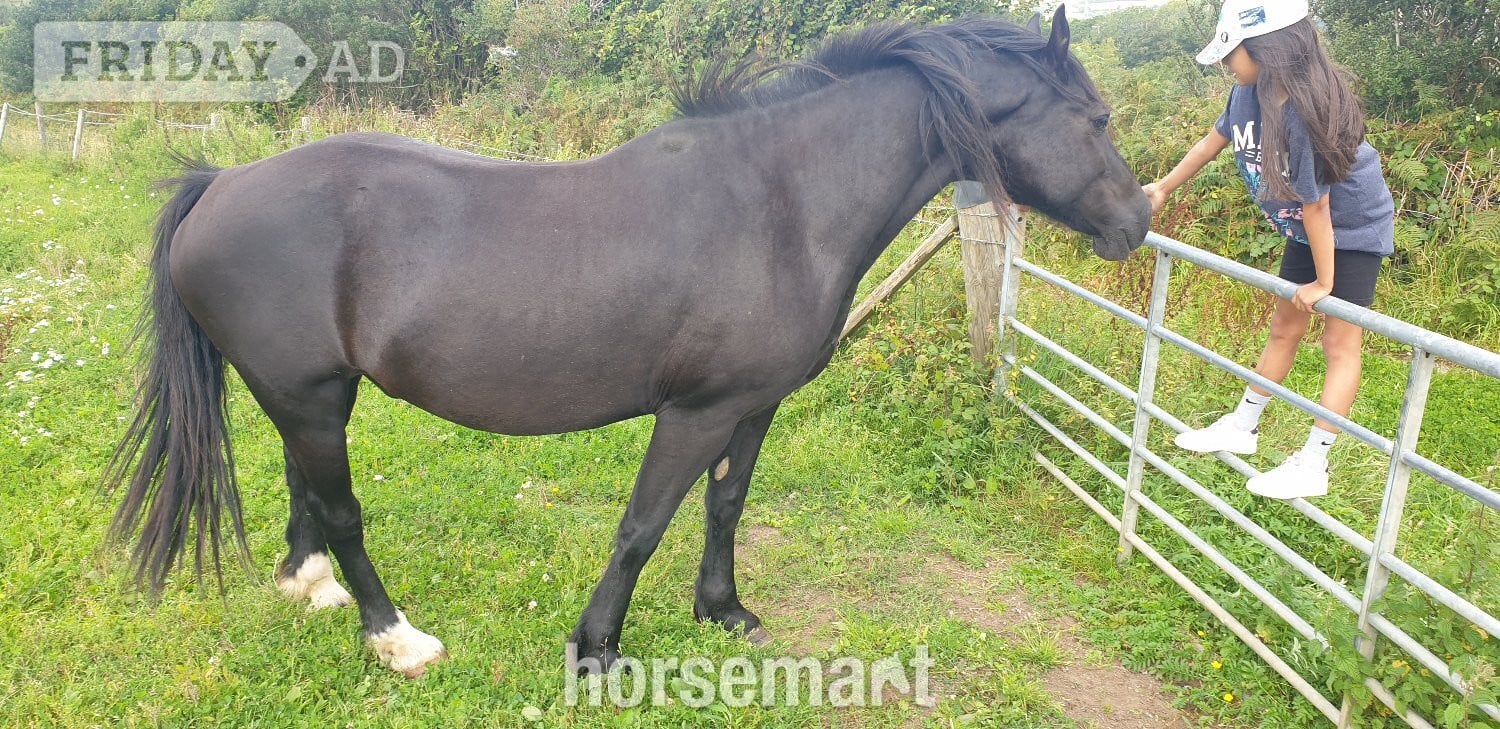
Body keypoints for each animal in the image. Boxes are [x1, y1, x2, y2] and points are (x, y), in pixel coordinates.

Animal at [107, 7, 1149, 678]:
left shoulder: (752, 406)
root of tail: (220, 181)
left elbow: (726, 505)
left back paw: (309, 587)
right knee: (343, 510)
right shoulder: (694, 412)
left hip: (310, 392)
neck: (780, 203)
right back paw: (397, 638)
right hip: (311, 394)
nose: (1139, 222)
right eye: (1097, 118)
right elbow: (643, 523)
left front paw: (723, 610)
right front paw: (597, 648)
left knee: (305, 492)